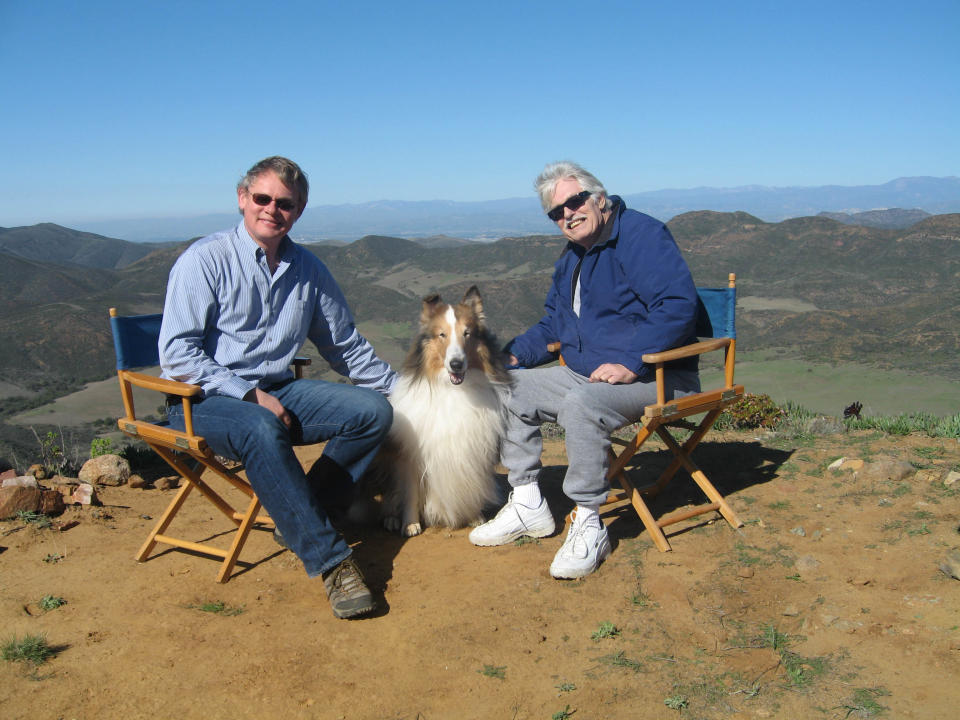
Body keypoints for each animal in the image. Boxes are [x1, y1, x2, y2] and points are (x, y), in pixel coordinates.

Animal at [360, 284, 510, 536]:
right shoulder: (411, 456)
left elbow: (471, 482)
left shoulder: (473, 449)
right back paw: (392, 518)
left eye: (467, 333)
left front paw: (474, 515)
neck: (453, 390)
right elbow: (410, 493)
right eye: (442, 334)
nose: (456, 364)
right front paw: (410, 524)